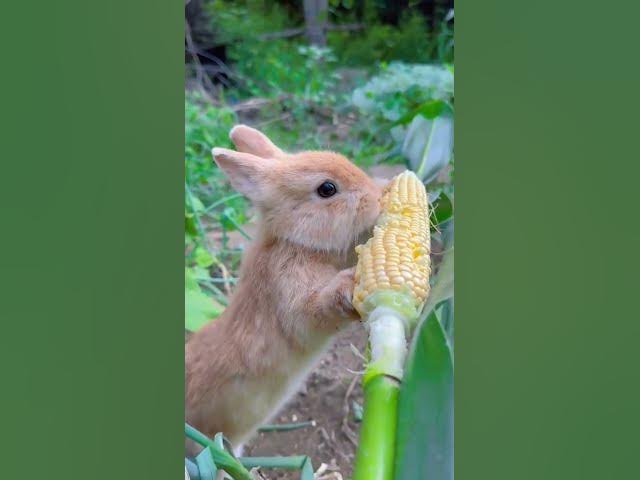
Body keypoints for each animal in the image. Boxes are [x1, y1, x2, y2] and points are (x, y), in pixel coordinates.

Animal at [185, 125, 382, 456]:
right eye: (327, 189)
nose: (378, 196)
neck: (292, 240)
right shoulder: (288, 284)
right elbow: (314, 308)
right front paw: (350, 284)